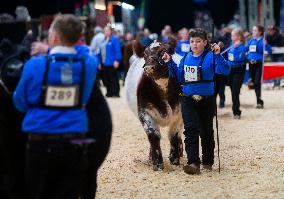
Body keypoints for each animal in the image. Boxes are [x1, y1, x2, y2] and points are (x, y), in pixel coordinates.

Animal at [125, 39, 183, 171]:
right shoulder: (145, 113)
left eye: (164, 52)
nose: (149, 67)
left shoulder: (179, 115)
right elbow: (153, 136)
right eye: (145, 55)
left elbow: (174, 136)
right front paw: (157, 163)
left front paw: (175, 159)